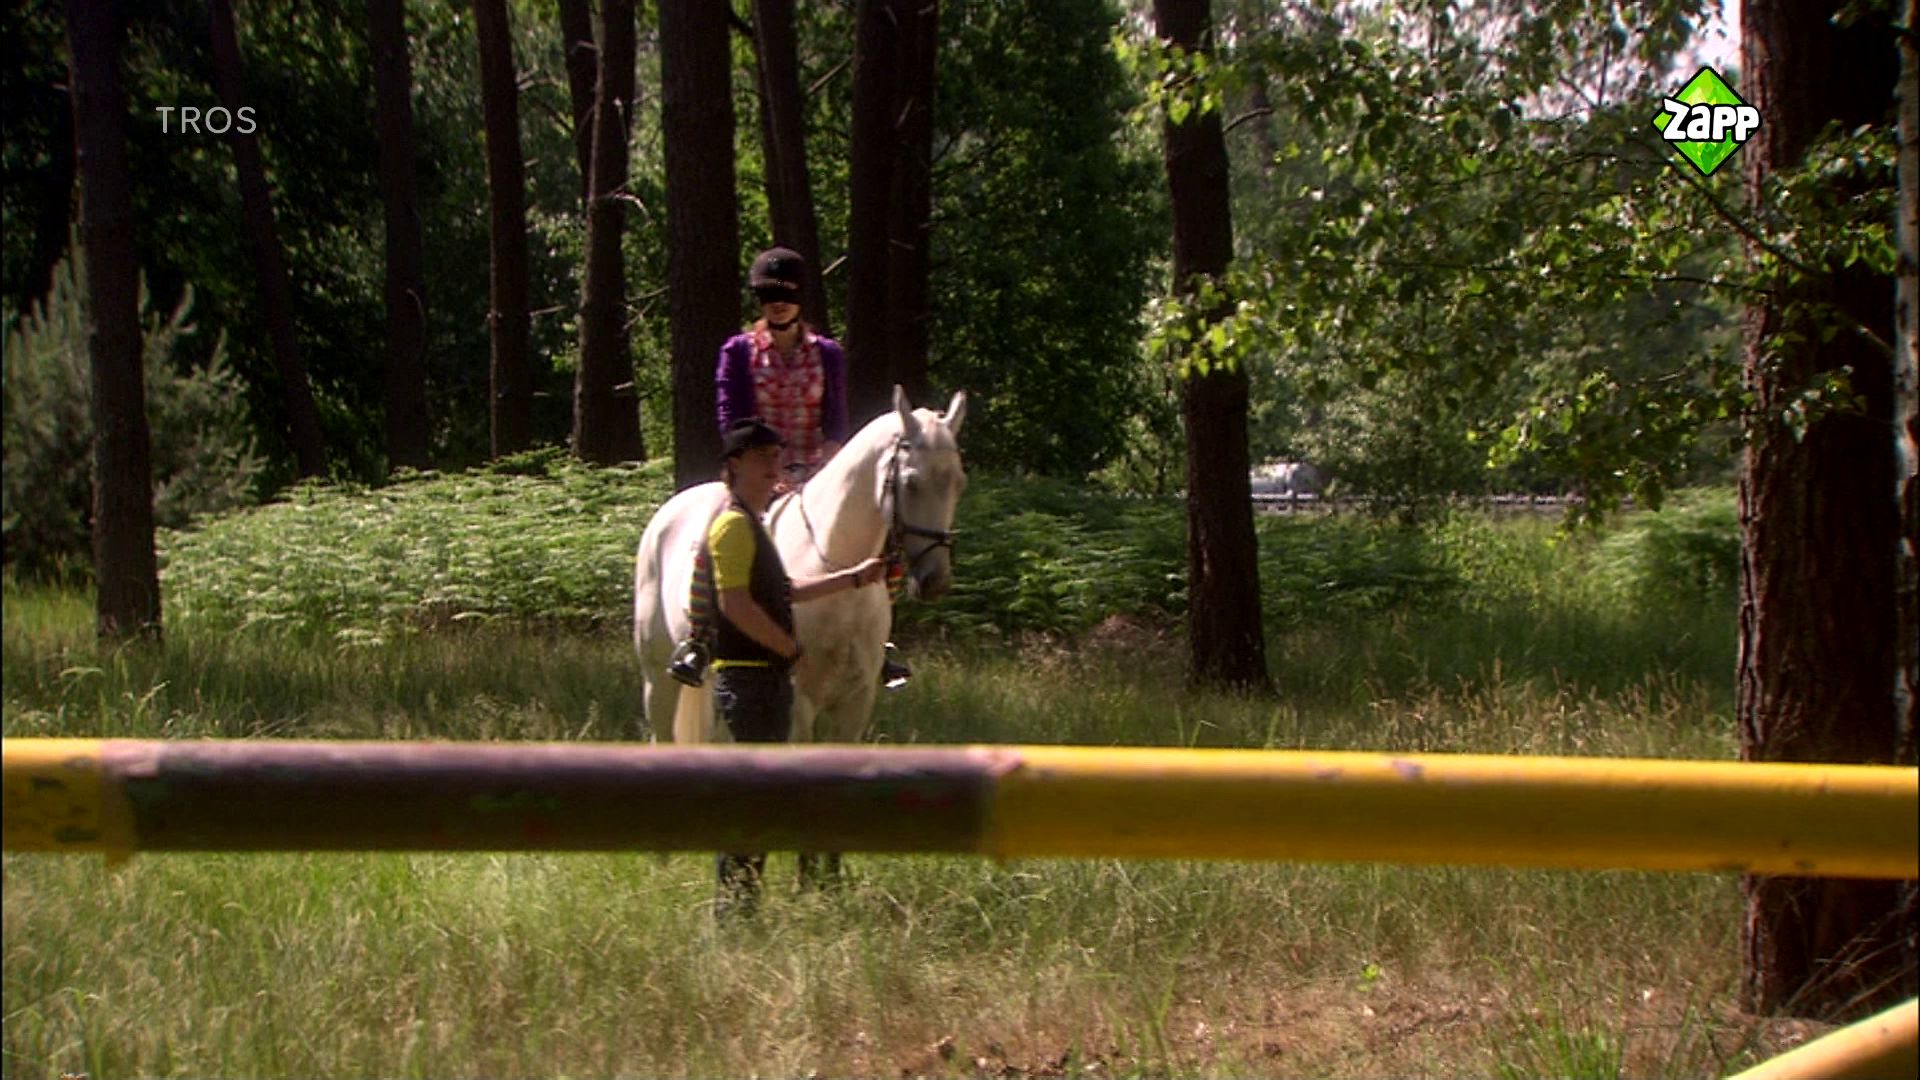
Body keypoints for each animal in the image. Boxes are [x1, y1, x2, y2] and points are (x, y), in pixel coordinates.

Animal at [632, 385, 967, 751]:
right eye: (910, 483)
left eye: (959, 482)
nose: (935, 581)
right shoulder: (798, 703)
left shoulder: (857, 701)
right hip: (658, 682)